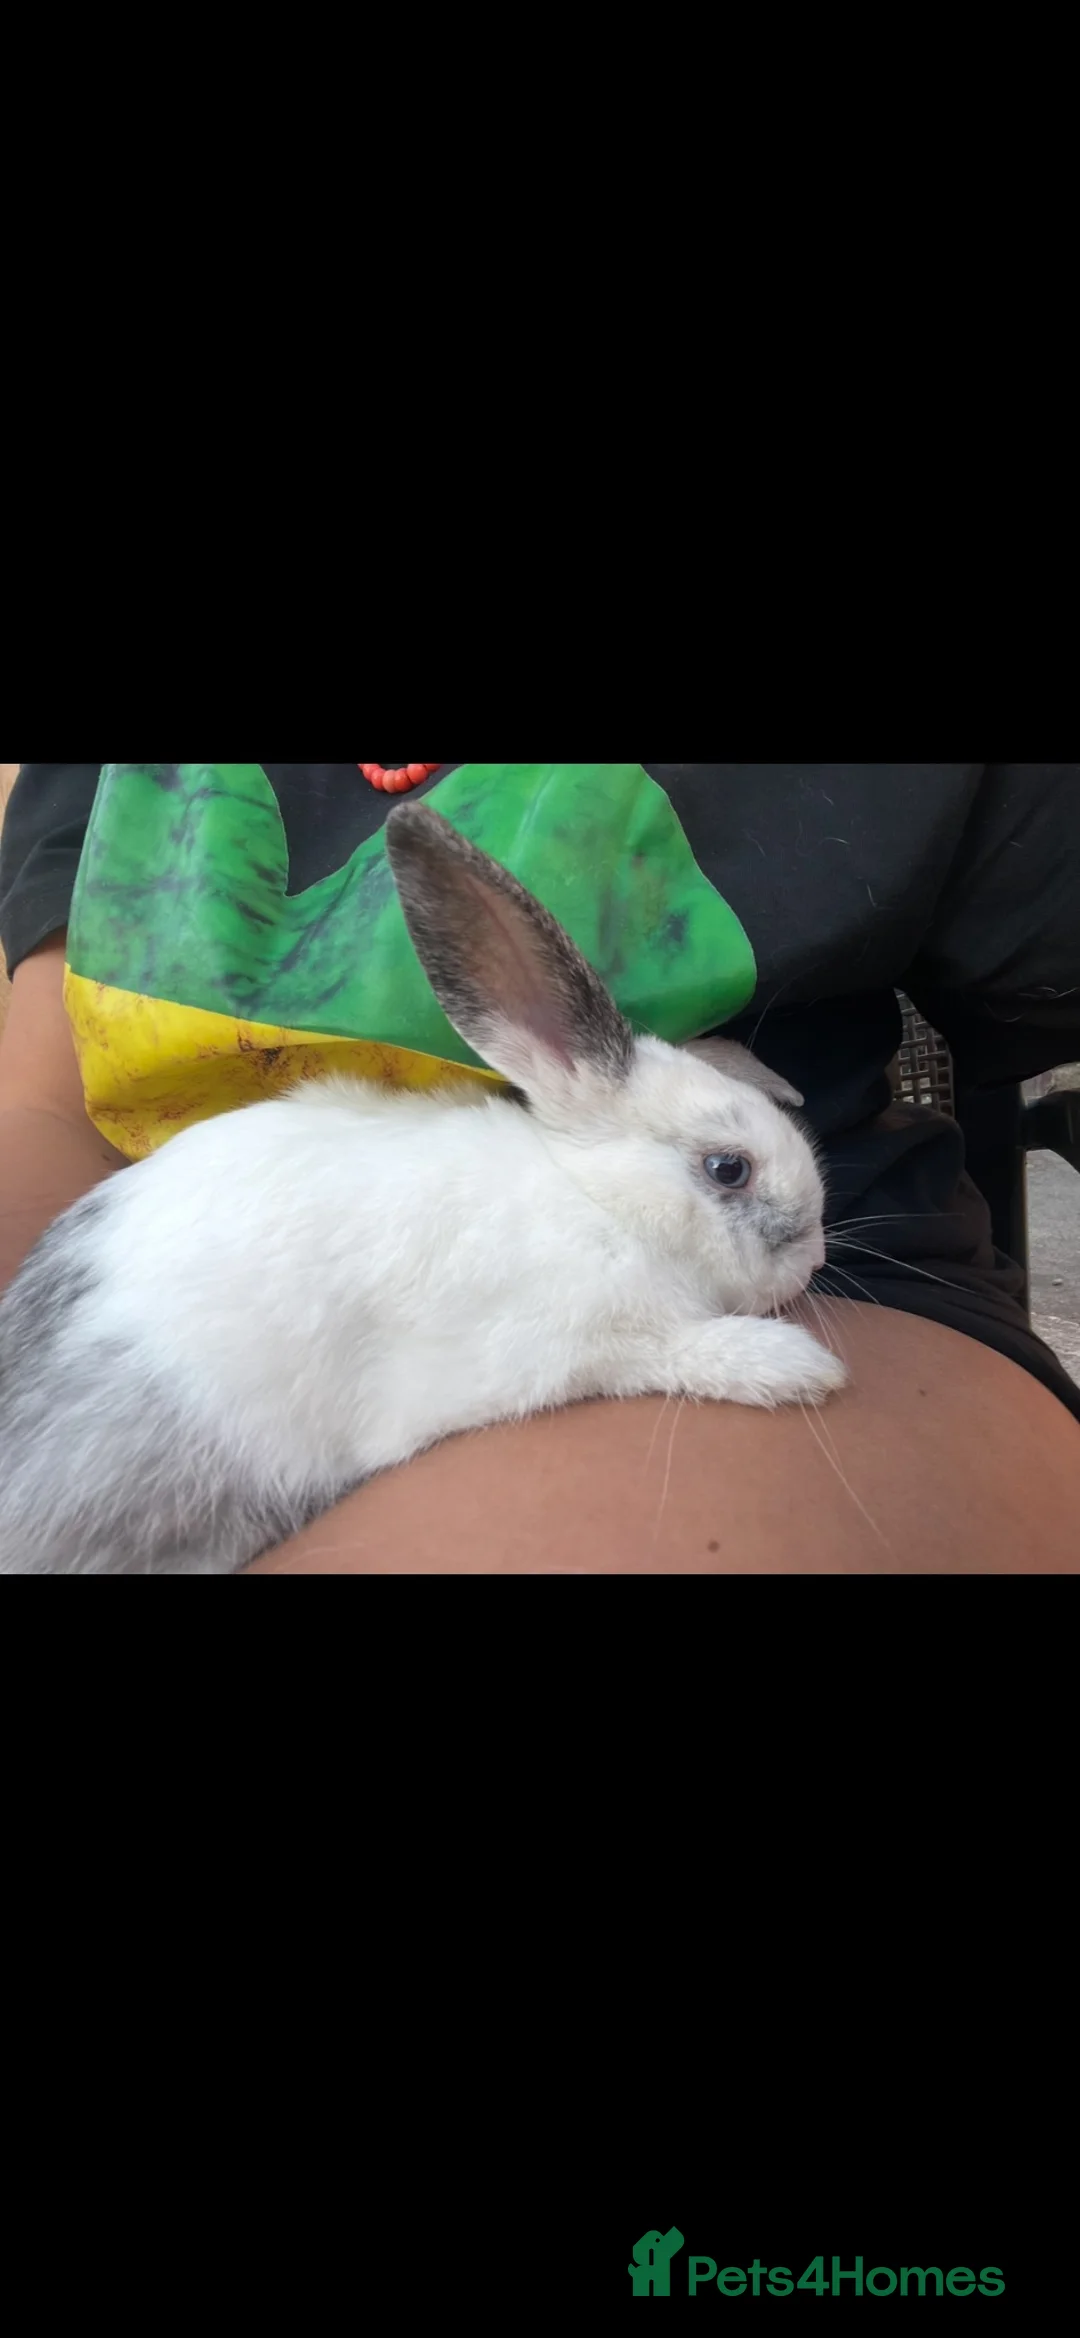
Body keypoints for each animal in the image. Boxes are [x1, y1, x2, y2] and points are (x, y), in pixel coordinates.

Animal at [0, 804, 846, 1574]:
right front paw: (798, 1369)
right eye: (728, 1168)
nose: (813, 1259)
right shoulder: (585, 1342)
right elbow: (682, 1351)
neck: (595, 1200)